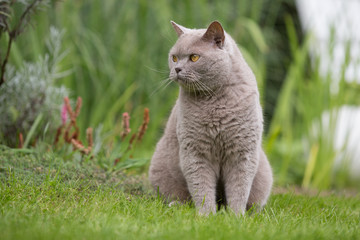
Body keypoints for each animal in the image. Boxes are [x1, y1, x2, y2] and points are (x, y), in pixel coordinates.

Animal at [149, 21, 272, 216]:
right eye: (174, 58)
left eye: (194, 57)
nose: (176, 69)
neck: (214, 99)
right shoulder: (195, 152)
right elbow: (201, 187)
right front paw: (207, 216)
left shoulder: (242, 153)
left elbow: (239, 188)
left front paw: (236, 217)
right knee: (180, 197)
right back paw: (177, 206)